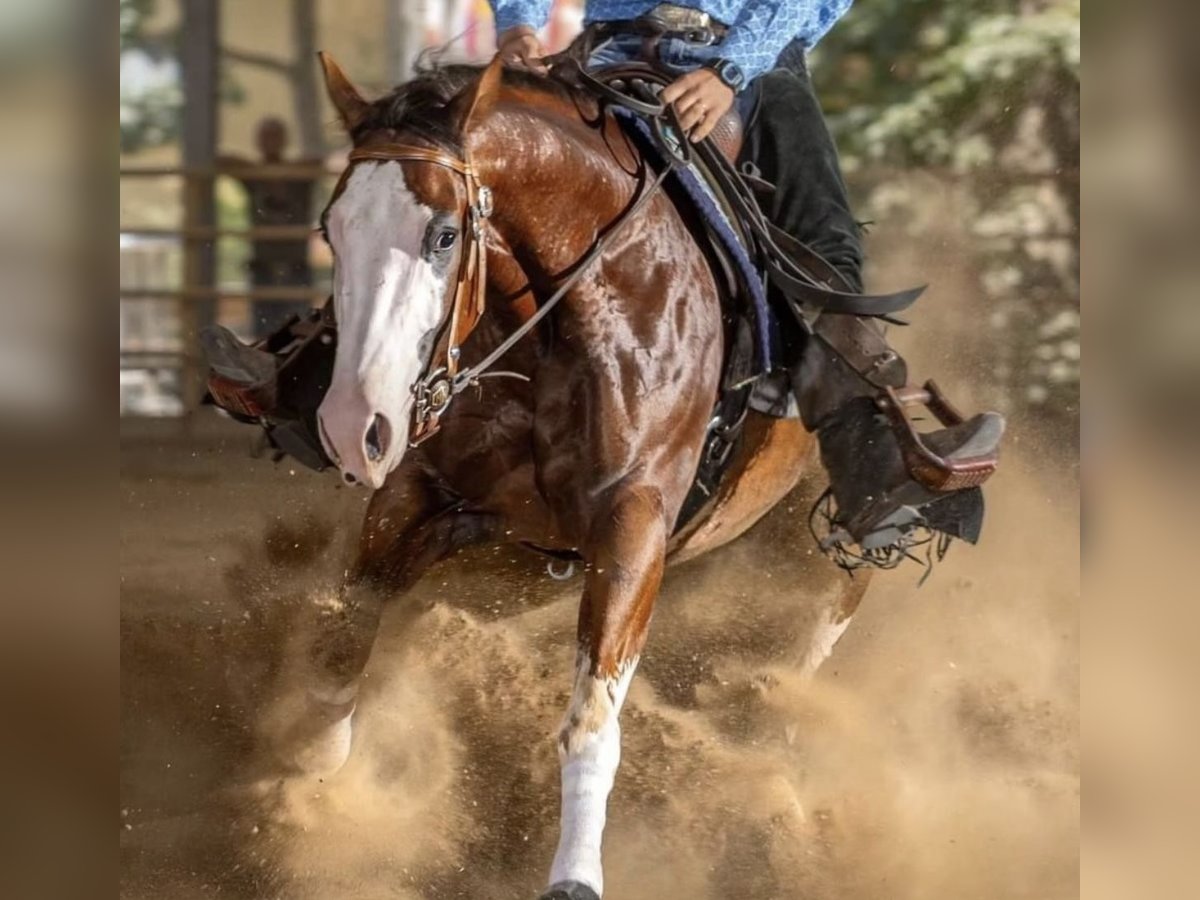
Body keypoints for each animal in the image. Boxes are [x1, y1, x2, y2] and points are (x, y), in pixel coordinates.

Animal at [274, 56, 868, 900]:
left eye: (444, 234)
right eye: (332, 229)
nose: (355, 425)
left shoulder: (632, 529)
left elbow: (591, 720)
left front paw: (575, 875)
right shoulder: (415, 499)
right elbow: (337, 652)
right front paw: (314, 806)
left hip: (822, 559)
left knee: (794, 666)